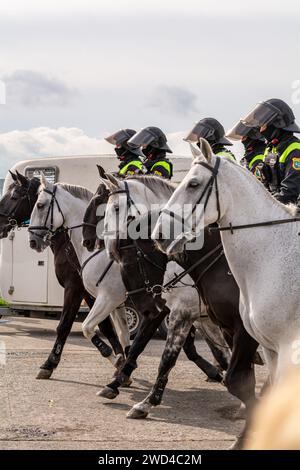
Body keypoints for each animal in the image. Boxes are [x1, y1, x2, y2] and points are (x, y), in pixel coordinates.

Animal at [0, 171, 124, 380]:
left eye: (14, 196)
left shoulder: (76, 288)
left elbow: (65, 325)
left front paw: (49, 363)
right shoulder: (93, 293)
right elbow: (106, 326)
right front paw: (119, 359)